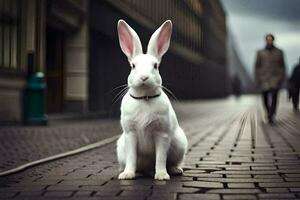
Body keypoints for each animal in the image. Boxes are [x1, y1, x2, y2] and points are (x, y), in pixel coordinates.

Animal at [115, 19, 188, 180]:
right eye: (133, 66)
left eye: (155, 66)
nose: (144, 77)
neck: (144, 97)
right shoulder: (130, 135)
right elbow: (131, 157)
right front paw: (127, 175)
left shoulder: (162, 134)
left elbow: (160, 158)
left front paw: (161, 176)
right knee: (140, 167)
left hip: (179, 144)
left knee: (171, 162)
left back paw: (174, 170)